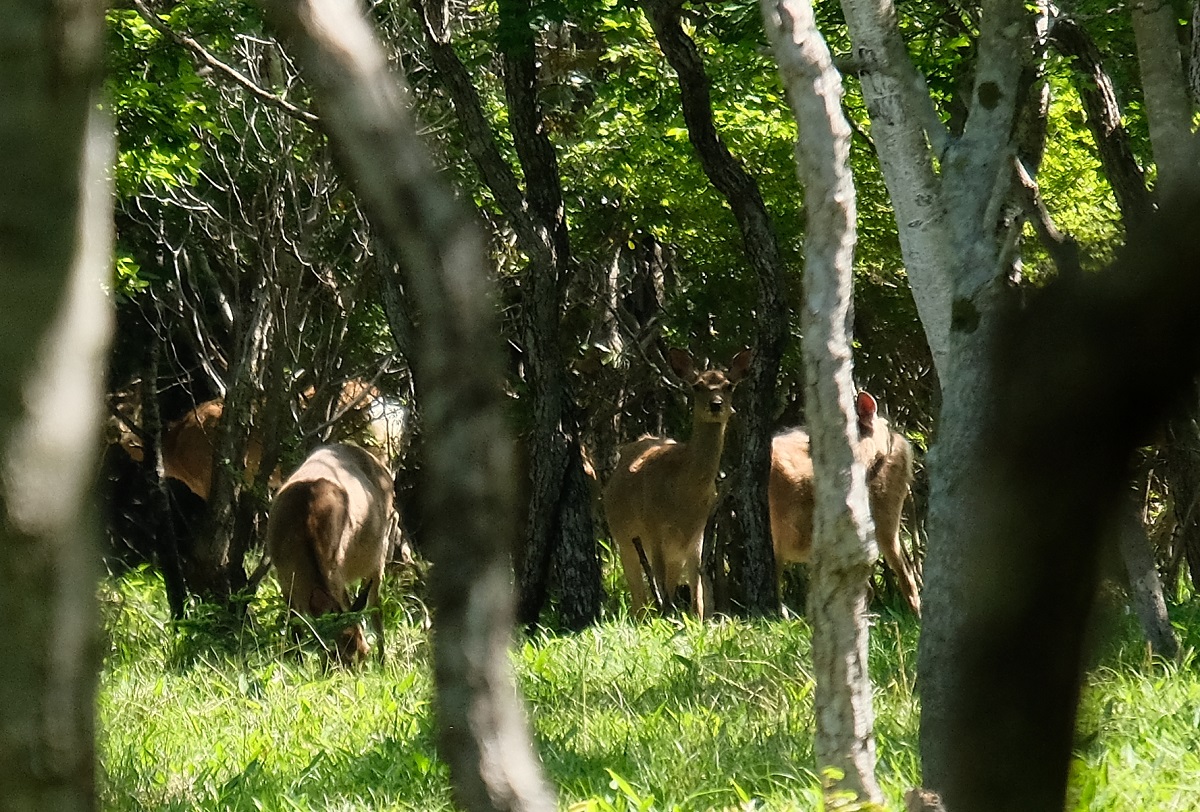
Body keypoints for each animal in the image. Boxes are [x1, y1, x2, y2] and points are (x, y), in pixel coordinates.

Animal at [267, 443, 396, 664]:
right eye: (336, 655)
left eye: (363, 653)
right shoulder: (283, 575)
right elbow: (295, 623)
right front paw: (297, 661)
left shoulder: (335, 567)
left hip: (379, 551)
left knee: (375, 604)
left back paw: (383, 661)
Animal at [603, 348, 753, 618]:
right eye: (697, 385)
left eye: (729, 385)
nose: (716, 405)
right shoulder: (653, 526)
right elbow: (661, 583)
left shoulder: (698, 532)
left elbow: (697, 591)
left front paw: (697, 619)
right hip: (623, 536)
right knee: (638, 594)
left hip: (671, 550)